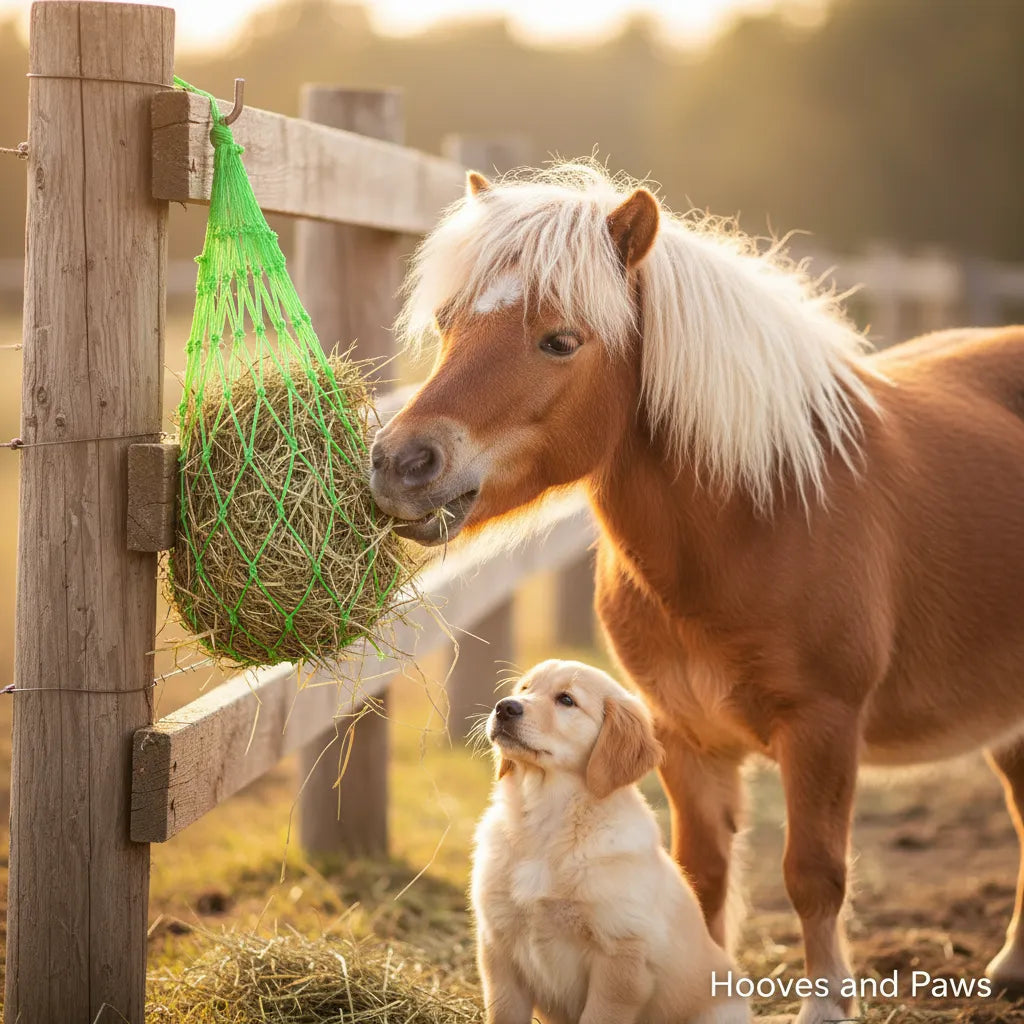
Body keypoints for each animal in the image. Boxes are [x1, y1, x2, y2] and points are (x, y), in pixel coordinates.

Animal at [368, 162, 1024, 1024]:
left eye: (560, 339)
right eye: (448, 322)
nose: (400, 464)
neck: (758, 517)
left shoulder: (822, 728)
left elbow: (814, 874)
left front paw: (825, 1005)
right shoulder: (683, 734)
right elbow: (701, 877)